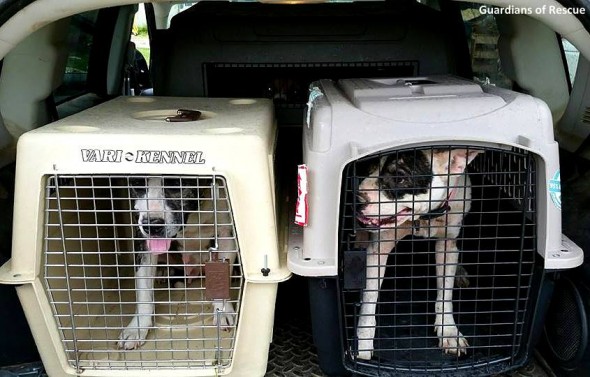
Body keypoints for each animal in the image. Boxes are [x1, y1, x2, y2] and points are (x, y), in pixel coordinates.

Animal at [117, 176, 237, 350]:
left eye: (175, 183)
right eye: (137, 183)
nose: (152, 224)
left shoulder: (225, 233)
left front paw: (222, 310)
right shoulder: (143, 241)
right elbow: (143, 291)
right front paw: (137, 327)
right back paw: (163, 272)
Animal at [354, 147, 484, 358]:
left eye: (400, 178)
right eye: (368, 165)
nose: (357, 200)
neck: (423, 218)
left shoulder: (447, 245)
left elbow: (445, 294)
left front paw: (448, 331)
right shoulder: (378, 250)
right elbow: (369, 301)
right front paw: (362, 344)